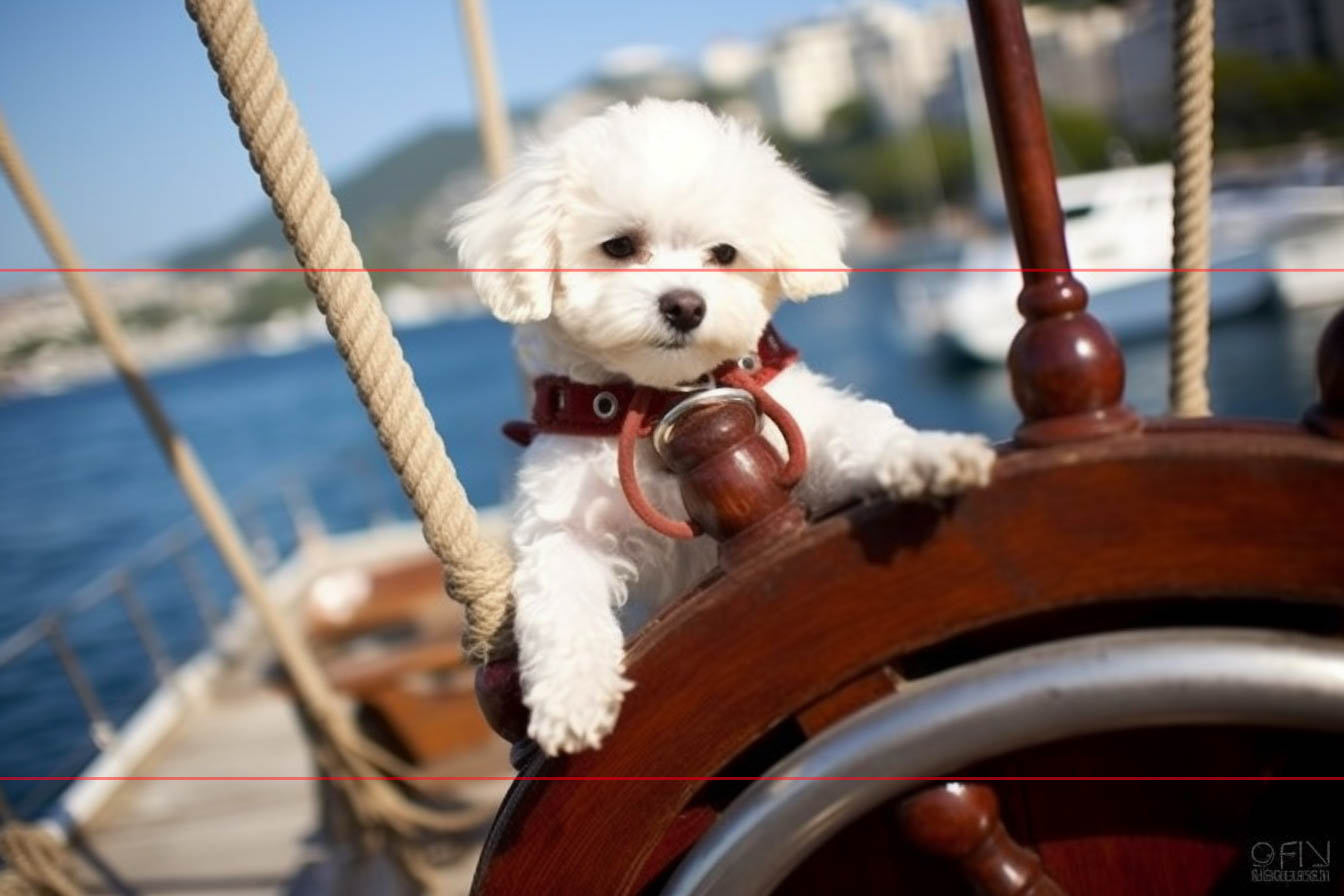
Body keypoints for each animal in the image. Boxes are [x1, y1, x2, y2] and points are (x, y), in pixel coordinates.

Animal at [446, 98, 994, 757]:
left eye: (725, 254)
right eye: (619, 246)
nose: (684, 304)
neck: (667, 401)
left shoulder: (803, 429)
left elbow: (861, 432)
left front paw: (928, 454)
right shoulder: (564, 522)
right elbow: (560, 601)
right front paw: (571, 696)